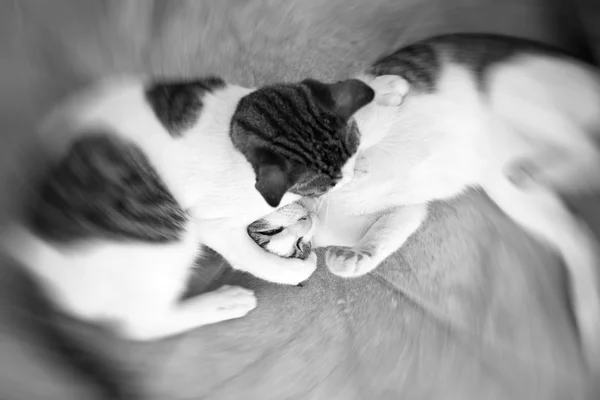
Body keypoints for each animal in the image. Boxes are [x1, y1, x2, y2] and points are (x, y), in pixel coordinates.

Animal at [0, 72, 376, 344]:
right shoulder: (213, 223)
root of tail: (37, 254)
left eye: (354, 149)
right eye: (328, 183)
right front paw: (301, 266)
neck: (228, 125)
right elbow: (257, 258)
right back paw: (225, 302)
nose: (350, 176)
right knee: (143, 325)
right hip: (163, 236)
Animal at [247, 32, 600, 380]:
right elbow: (386, 232)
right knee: (579, 228)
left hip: (510, 84)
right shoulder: (407, 210)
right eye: (292, 245)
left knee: (588, 149)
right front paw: (354, 258)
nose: (303, 223)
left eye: (274, 231)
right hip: (508, 186)